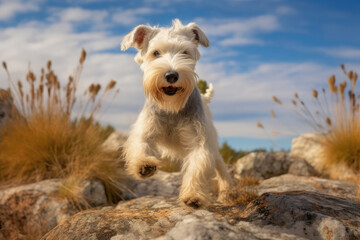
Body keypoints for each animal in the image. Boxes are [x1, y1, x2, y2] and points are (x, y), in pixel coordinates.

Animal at [121, 18, 233, 208]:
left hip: (214, 147)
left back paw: (226, 195)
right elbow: (141, 145)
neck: (172, 108)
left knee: (222, 171)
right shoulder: (145, 129)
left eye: (185, 52)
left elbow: (197, 168)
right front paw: (144, 165)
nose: (171, 76)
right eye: (155, 53)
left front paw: (193, 196)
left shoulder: (200, 143)